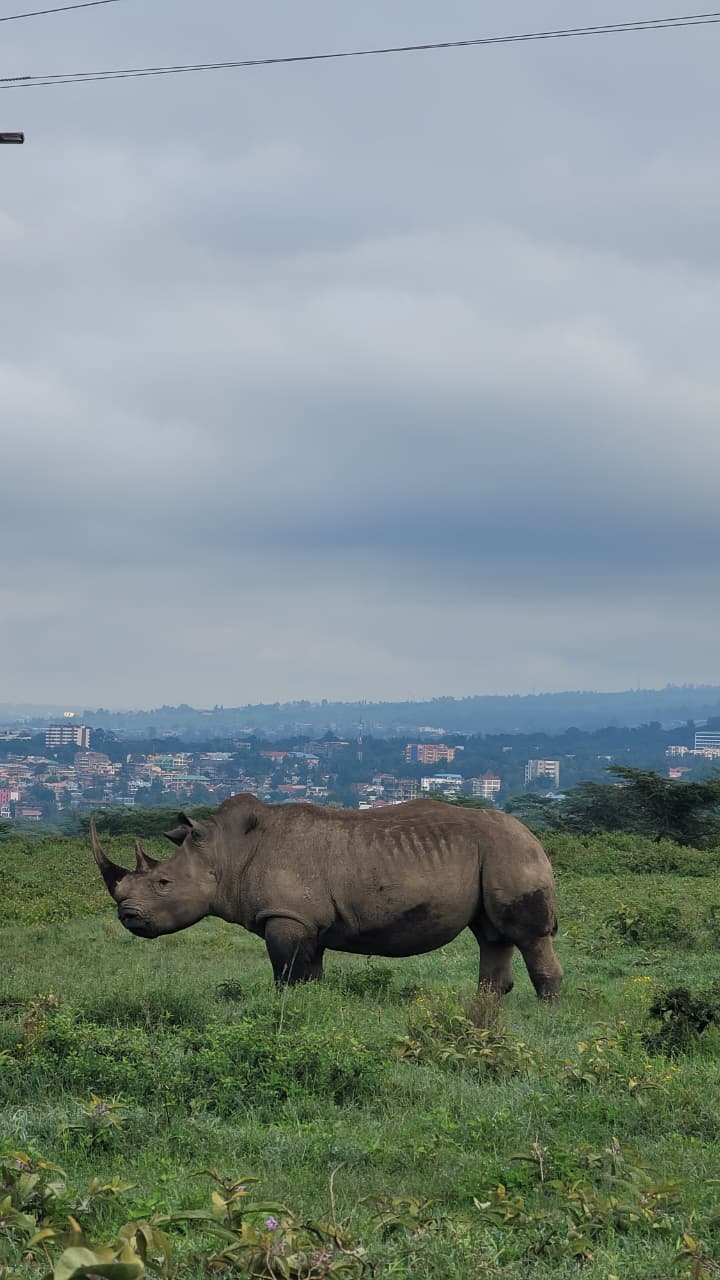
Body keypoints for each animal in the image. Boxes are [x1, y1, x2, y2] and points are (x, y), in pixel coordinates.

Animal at [91, 795, 563, 998]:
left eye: (163, 884)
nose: (128, 917)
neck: (226, 852)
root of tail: (535, 837)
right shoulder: (305, 920)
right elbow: (310, 975)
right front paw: (312, 1011)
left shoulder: (286, 916)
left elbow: (286, 975)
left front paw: (285, 1012)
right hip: (494, 854)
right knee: (493, 935)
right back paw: (484, 1011)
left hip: (509, 851)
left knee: (527, 936)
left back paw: (546, 1012)